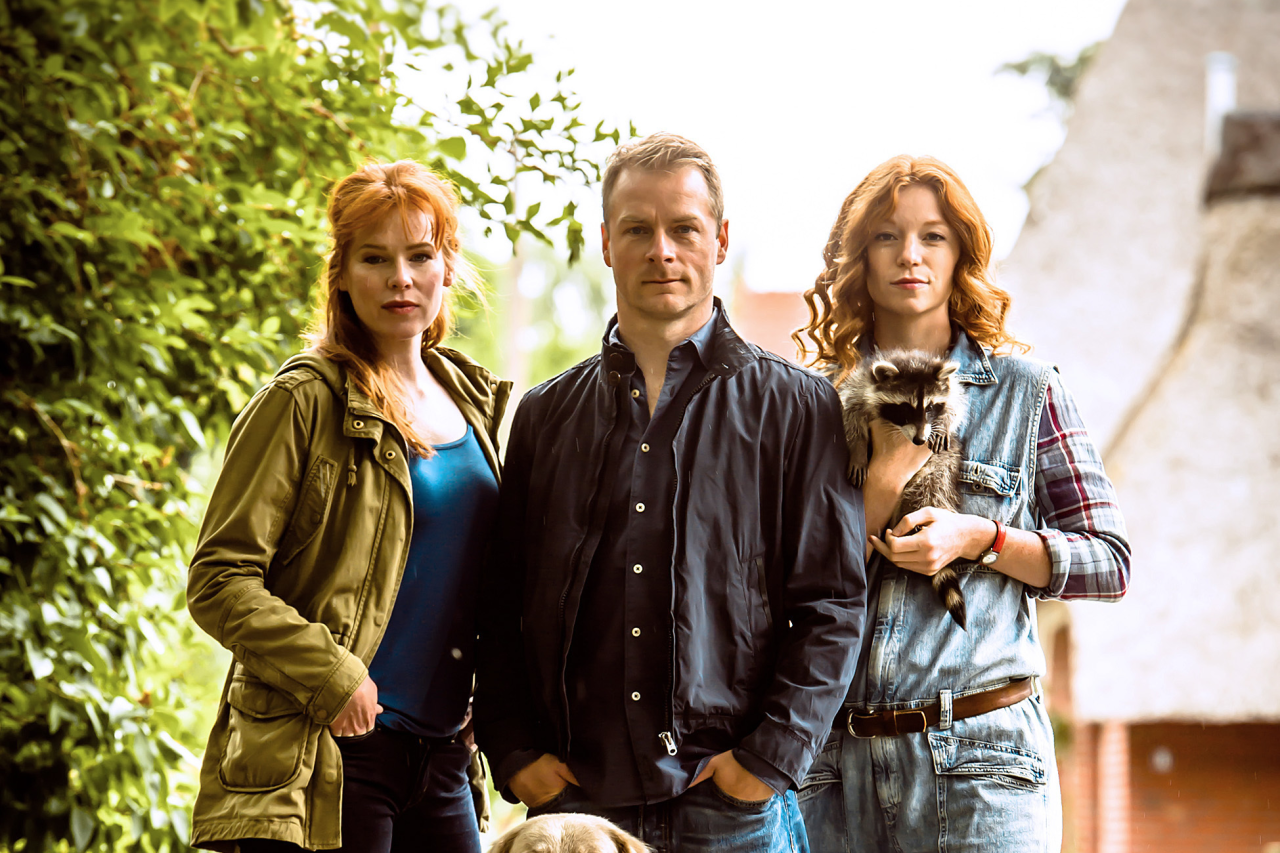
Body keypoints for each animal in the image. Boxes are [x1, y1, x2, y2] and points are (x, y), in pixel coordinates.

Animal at [839, 348, 967, 627]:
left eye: (930, 408)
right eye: (904, 408)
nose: (919, 439)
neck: (913, 361)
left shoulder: (947, 389)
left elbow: (956, 402)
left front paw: (946, 423)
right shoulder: (858, 386)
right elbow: (849, 414)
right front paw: (857, 449)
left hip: (940, 466)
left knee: (930, 486)